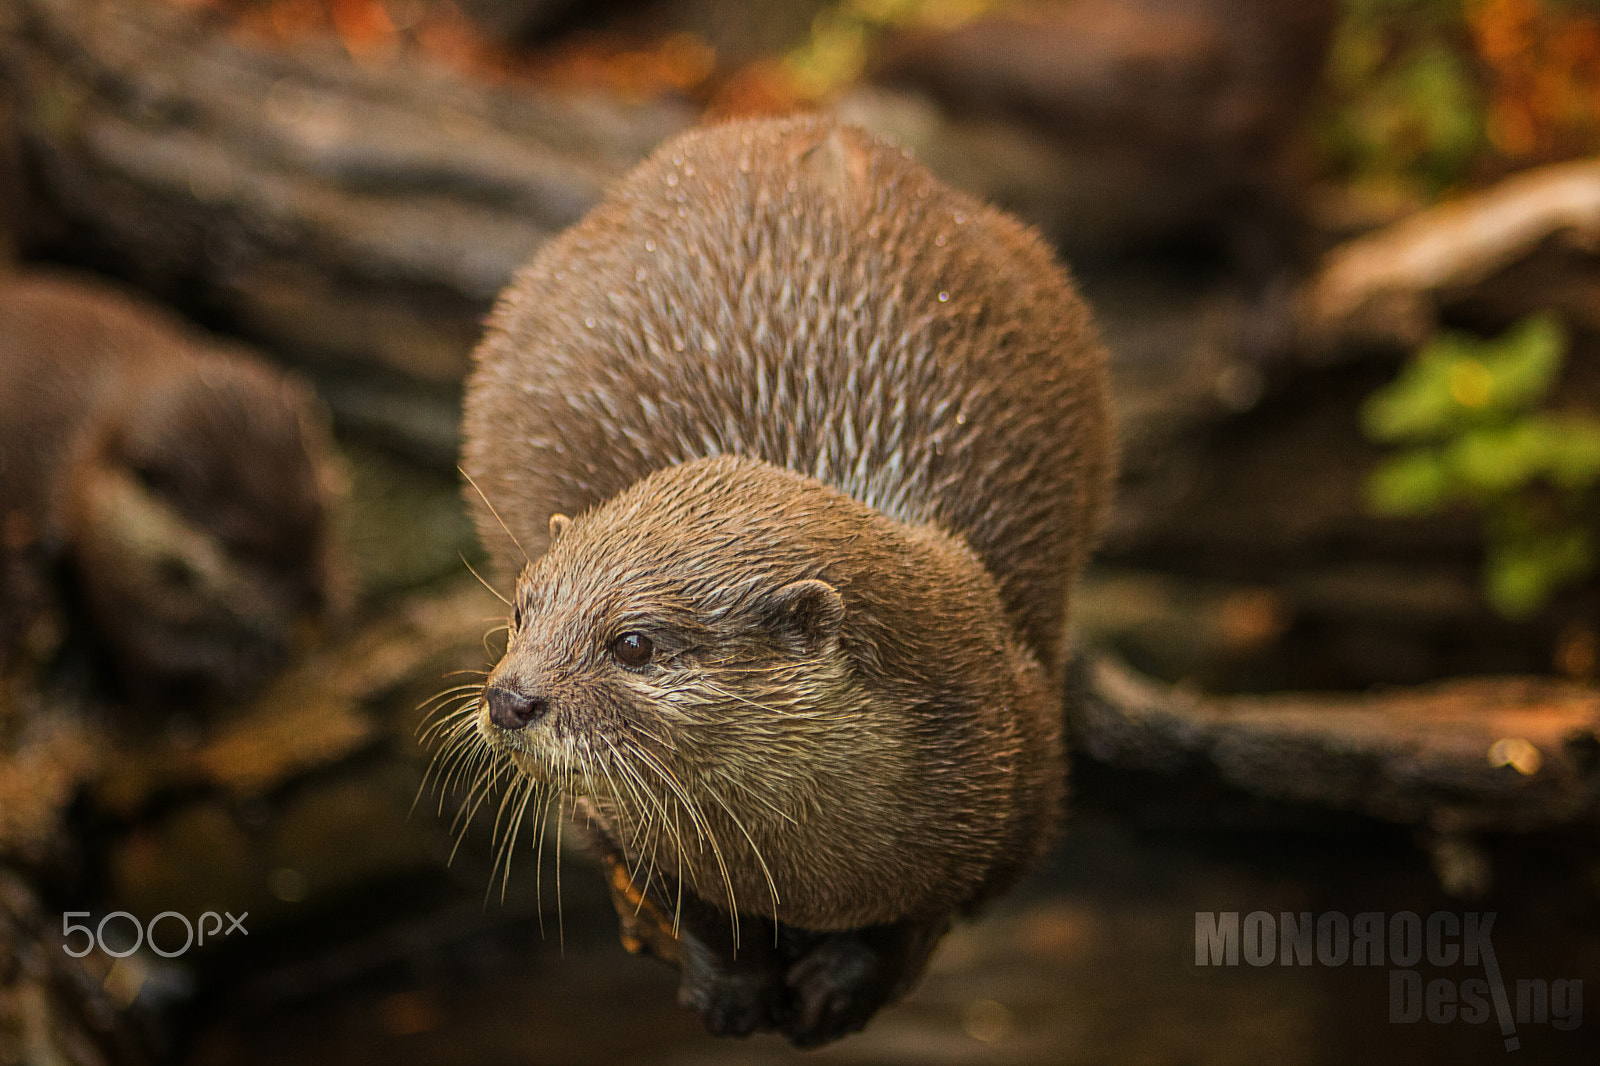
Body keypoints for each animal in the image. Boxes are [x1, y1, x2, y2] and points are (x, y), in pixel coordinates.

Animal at [0, 273, 343, 703]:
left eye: (319, 510)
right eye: (238, 546)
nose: (307, 595)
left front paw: (336, 605)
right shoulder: (102, 550)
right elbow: (145, 648)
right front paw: (234, 663)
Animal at [458, 117, 1114, 1045]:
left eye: (634, 642)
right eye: (520, 612)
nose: (511, 697)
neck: (807, 879)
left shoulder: (1020, 775)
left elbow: (923, 916)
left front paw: (846, 983)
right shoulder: (618, 823)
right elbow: (677, 896)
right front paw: (730, 982)